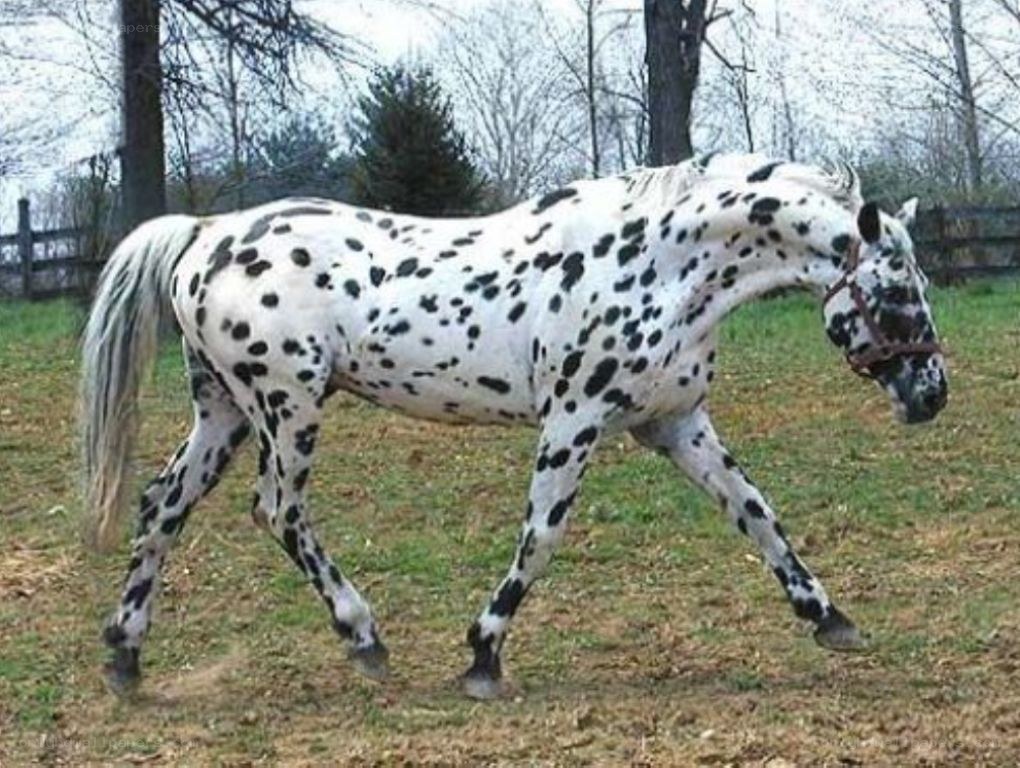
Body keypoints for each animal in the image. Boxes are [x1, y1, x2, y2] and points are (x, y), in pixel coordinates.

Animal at [80, 153, 947, 700]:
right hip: (287, 405)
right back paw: (364, 639)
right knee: (278, 510)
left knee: (163, 504)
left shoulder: (675, 423)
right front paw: (482, 656)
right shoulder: (574, 420)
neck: (660, 265)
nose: (931, 395)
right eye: (897, 291)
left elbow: (757, 513)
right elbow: (542, 537)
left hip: (223, 410)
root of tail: (206, 234)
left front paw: (831, 619)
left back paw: (125, 656)